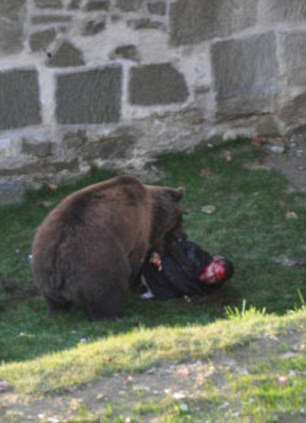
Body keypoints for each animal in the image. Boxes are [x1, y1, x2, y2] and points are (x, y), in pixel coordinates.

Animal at [32, 176, 183, 322]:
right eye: (179, 220)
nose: (182, 236)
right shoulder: (137, 230)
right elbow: (136, 261)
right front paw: (137, 284)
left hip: (43, 267)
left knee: (54, 301)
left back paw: (57, 311)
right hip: (97, 261)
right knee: (107, 291)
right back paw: (115, 316)